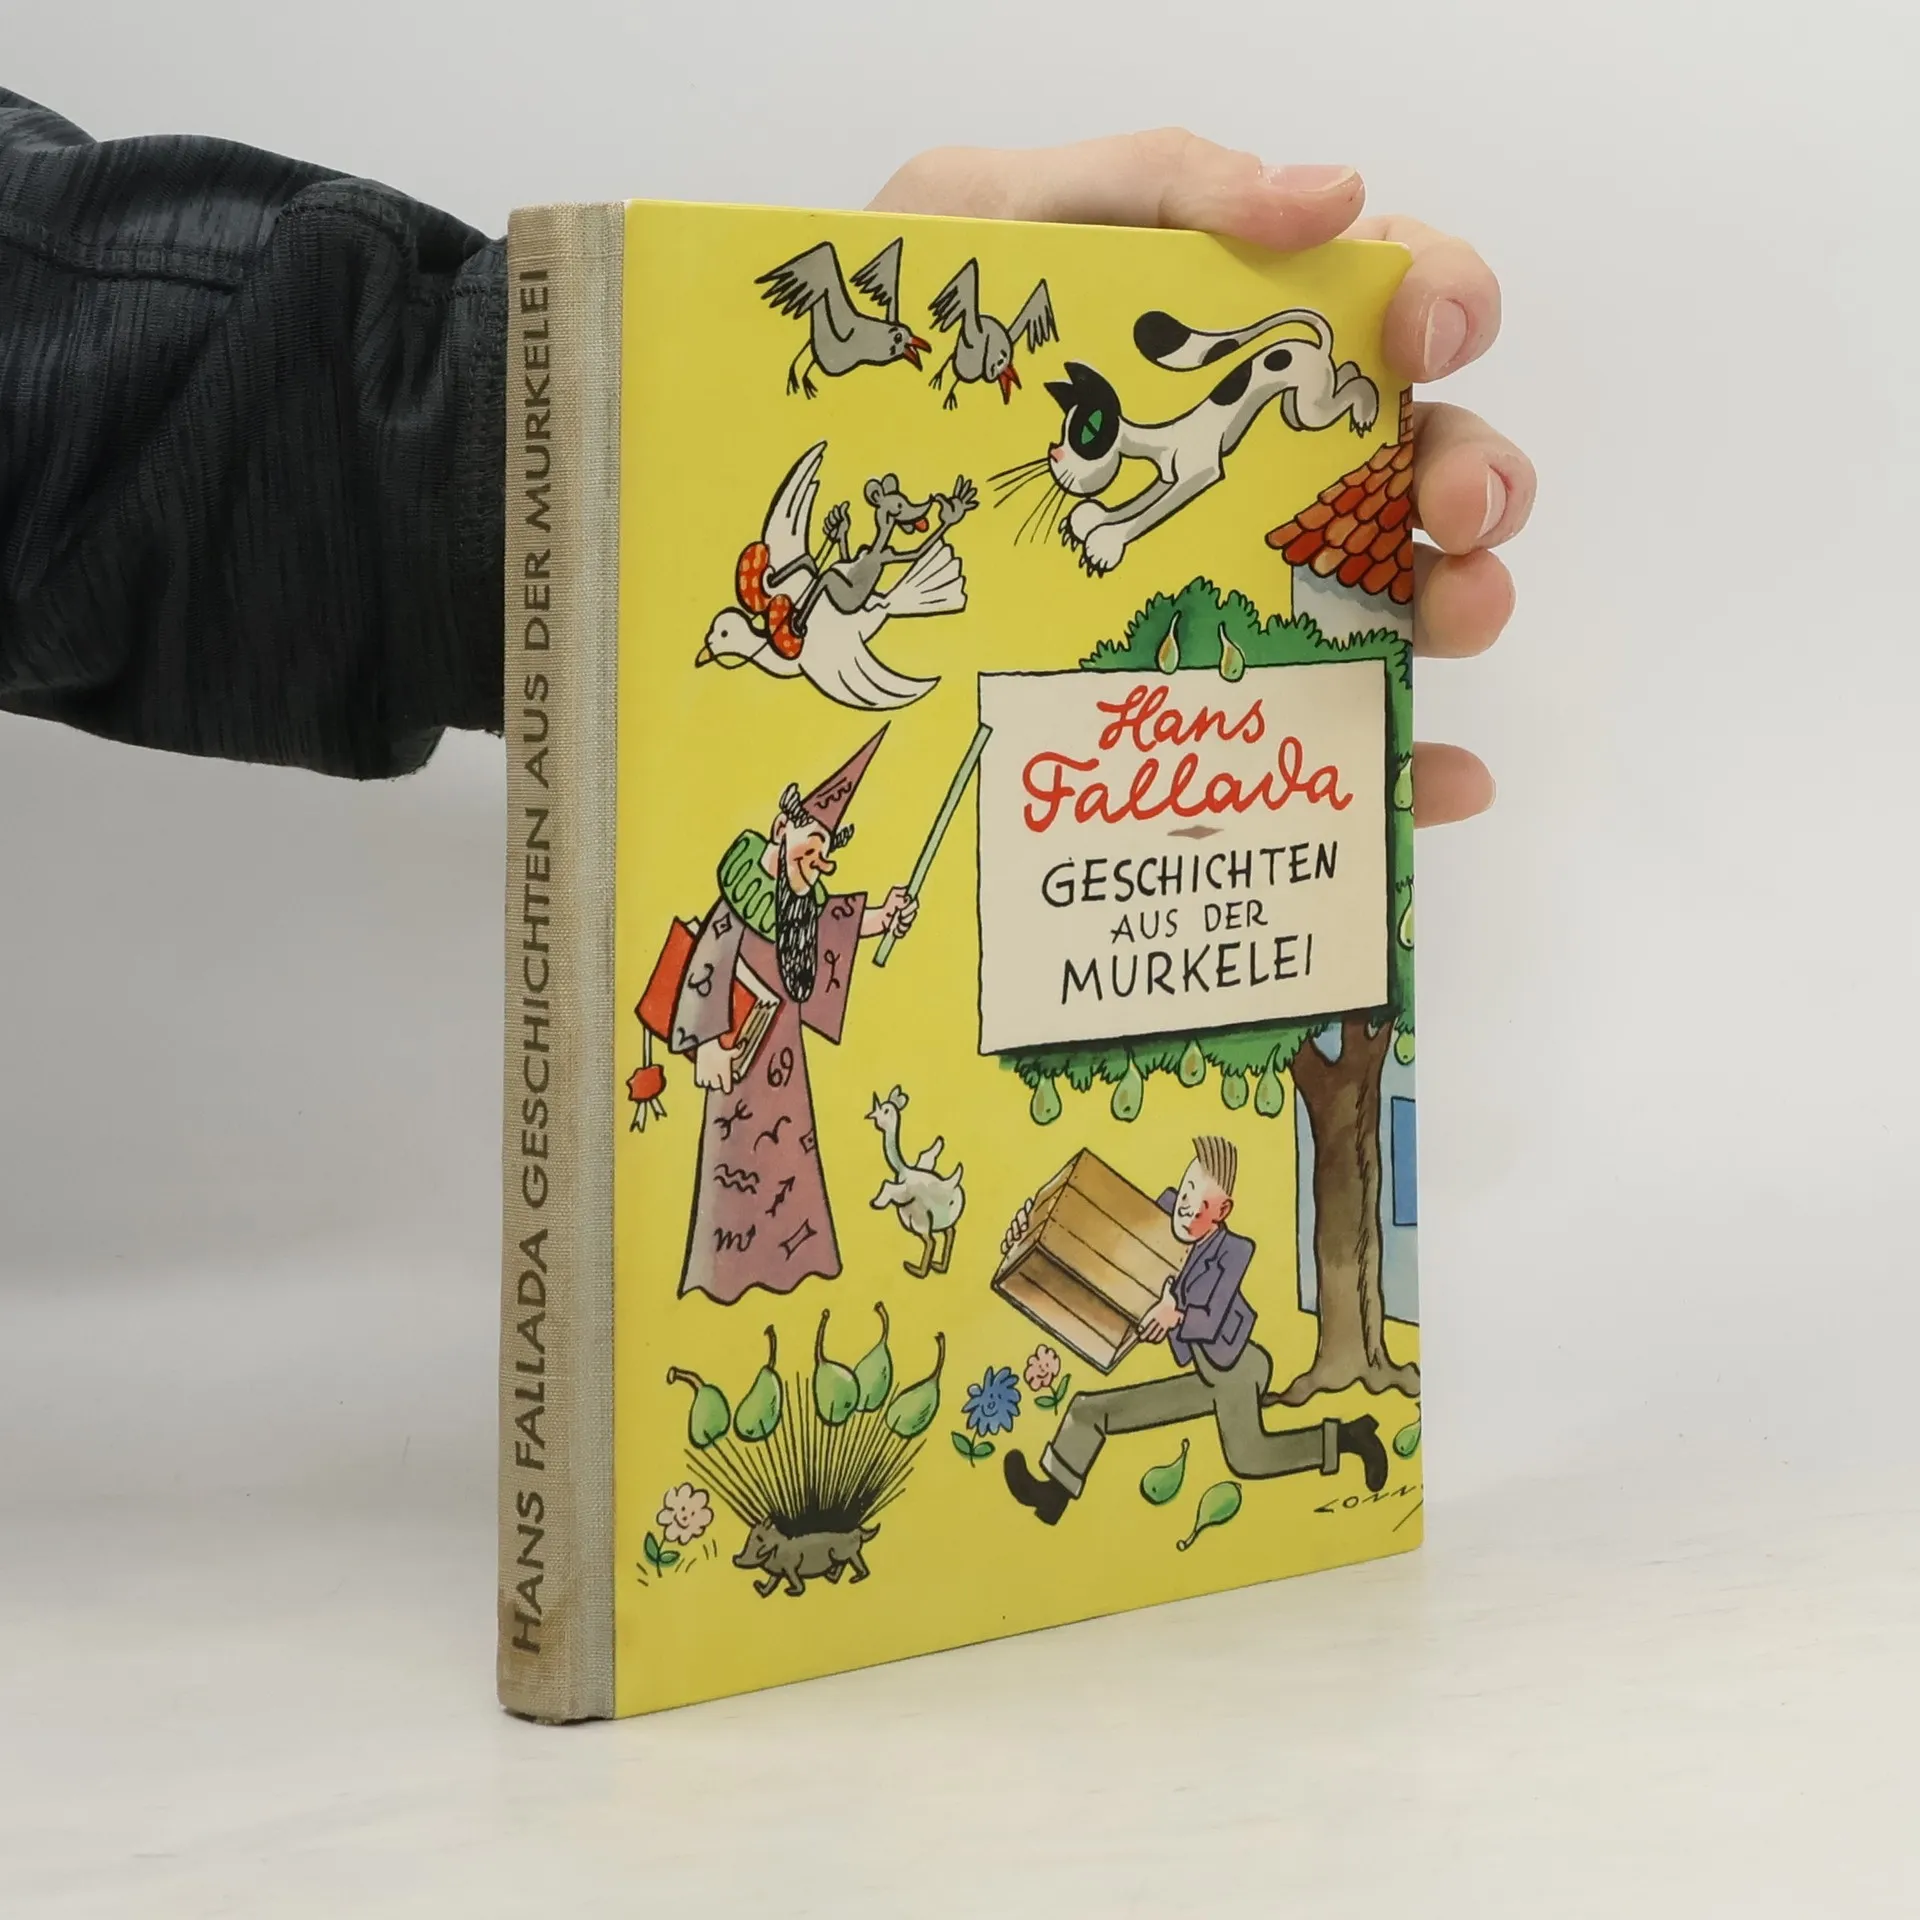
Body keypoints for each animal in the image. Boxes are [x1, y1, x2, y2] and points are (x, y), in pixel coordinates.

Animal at [993, 308, 1379, 576]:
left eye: (1088, 433)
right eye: (1062, 433)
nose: (1055, 456)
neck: (1160, 440)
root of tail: (1310, 345)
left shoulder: (1197, 474)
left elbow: (1147, 514)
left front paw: (1104, 544)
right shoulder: (1166, 477)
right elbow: (1136, 504)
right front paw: (1092, 521)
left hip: (1310, 409)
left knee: (1353, 386)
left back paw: (1367, 411)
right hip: (1297, 408)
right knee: (1344, 373)